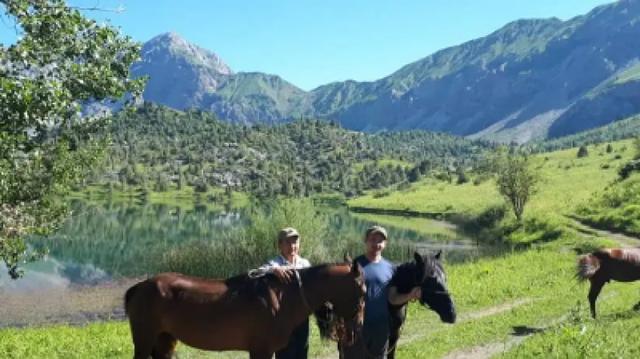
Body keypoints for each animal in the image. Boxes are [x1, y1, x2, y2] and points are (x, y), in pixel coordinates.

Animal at [124, 260, 364, 359]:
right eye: (362, 290)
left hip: (164, 339)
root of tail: (141, 287)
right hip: (144, 340)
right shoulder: (261, 350)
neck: (281, 297)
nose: (359, 325)